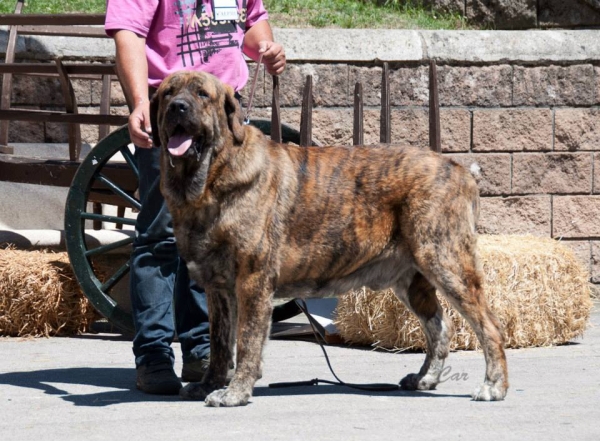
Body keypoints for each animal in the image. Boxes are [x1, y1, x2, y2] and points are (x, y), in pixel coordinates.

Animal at [150, 69, 506, 406]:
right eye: (168, 92)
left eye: (202, 94)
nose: (178, 107)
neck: (212, 177)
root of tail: (458, 168)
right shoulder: (219, 288)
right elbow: (221, 342)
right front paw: (209, 384)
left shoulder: (252, 281)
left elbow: (247, 341)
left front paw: (234, 393)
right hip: (412, 279)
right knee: (439, 325)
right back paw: (425, 379)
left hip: (447, 263)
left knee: (488, 325)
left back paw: (493, 386)